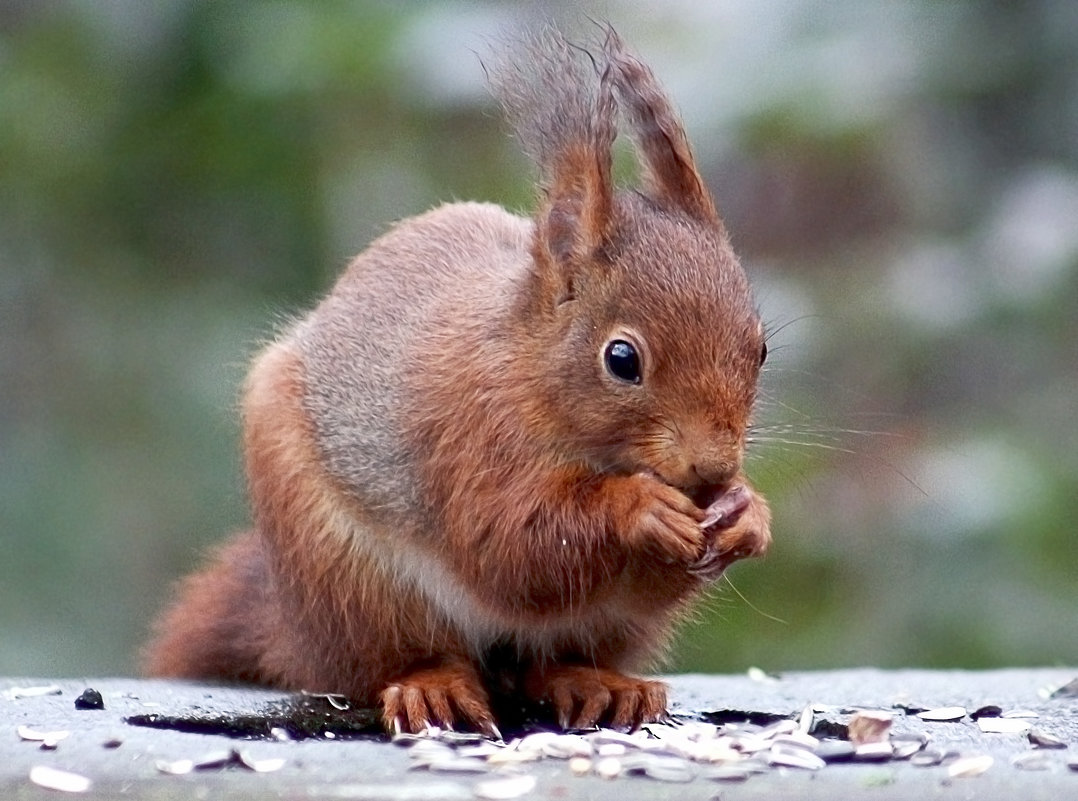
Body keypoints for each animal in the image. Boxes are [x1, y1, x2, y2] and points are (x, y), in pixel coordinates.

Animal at [143, 28, 771, 737]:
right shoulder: (470, 433)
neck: (529, 373)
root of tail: (301, 632)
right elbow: (507, 544)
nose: (714, 469)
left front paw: (746, 515)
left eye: (761, 350)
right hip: (349, 580)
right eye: (622, 359)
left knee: (548, 662)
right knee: (400, 657)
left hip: (606, 627)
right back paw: (432, 686)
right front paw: (641, 506)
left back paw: (597, 683)